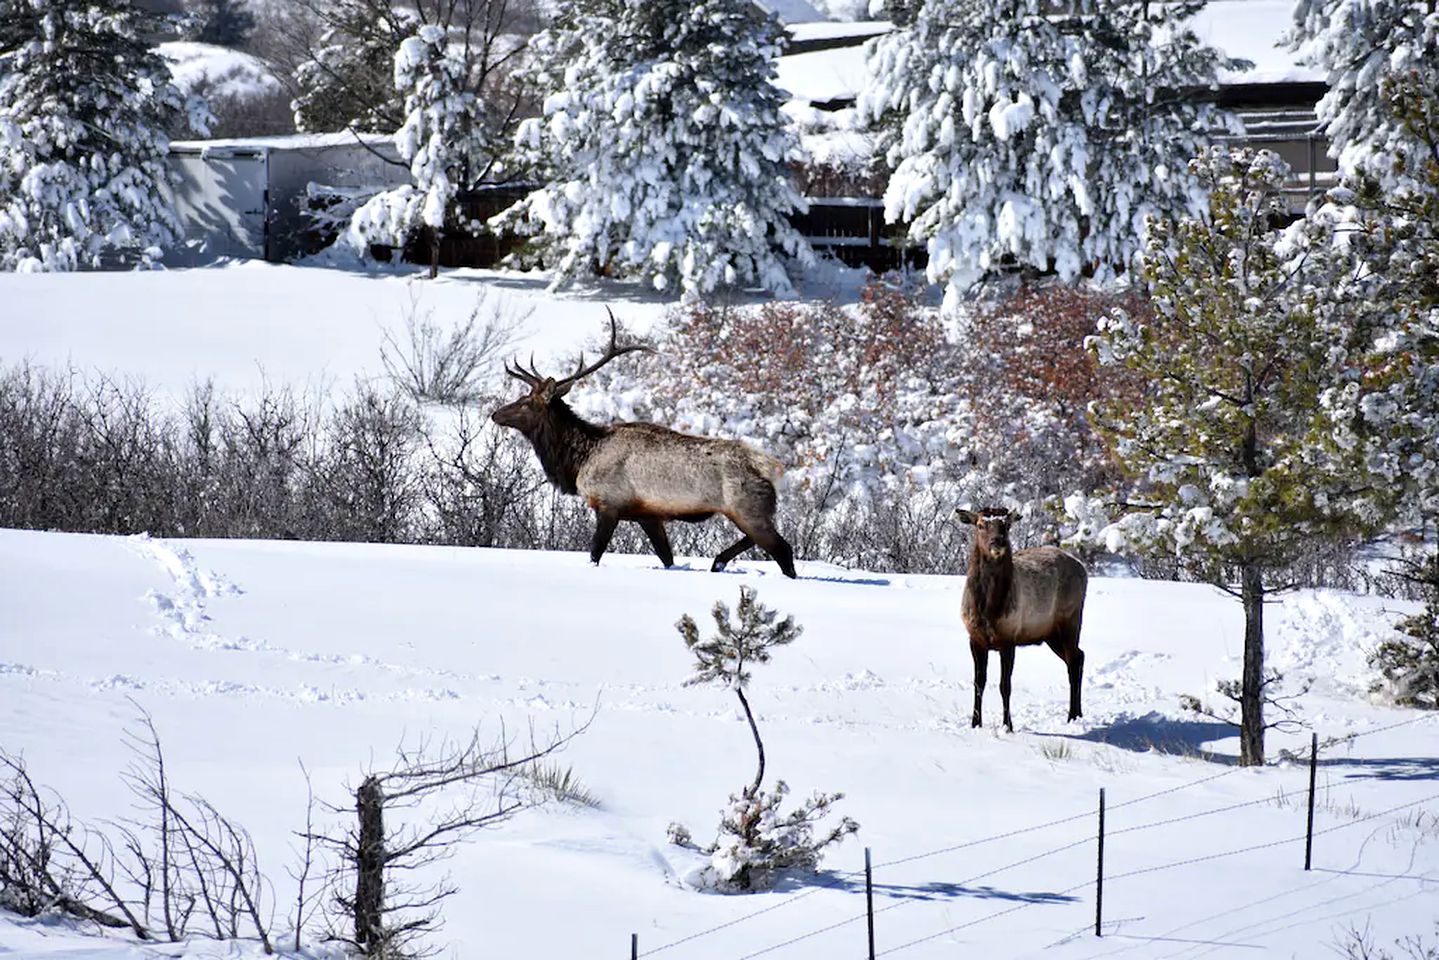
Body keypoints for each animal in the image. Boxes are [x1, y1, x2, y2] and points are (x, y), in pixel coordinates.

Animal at [486, 315, 800, 581]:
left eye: (526, 402)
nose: (495, 414)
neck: (578, 460)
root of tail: (770, 467)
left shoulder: (608, 503)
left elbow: (595, 553)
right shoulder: (647, 514)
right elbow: (666, 557)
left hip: (747, 507)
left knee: (783, 550)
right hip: (750, 511)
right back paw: (718, 562)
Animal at [961, 506, 1082, 731]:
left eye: (1007, 525)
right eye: (980, 524)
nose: (997, 542)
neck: (987, 610)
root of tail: (1082, 568)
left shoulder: (1009, 639)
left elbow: (1004, 685)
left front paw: (1008, 726)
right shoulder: (975, 638)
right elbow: (978, 683)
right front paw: (975, 723)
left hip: (1071, 620)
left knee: (1073, 662)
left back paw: (1072, 716)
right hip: (1050, 634)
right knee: (1080, 656)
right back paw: (1078, 714)